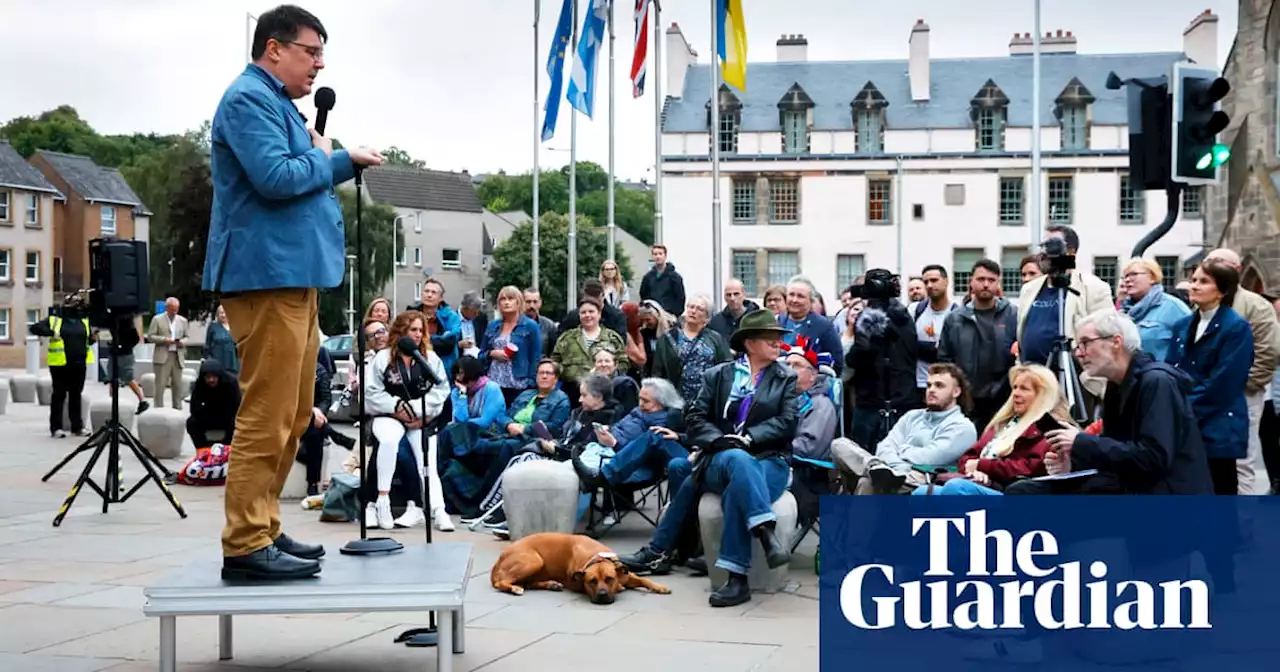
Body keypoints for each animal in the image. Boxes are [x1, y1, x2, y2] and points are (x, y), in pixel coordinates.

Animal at [486, 532, 670, 604]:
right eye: (591, 581)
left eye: (609, 579)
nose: (602, 595)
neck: (597, 558)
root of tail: (498, 560)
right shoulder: (576, 582)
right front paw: (620, 588)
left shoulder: (624, 573)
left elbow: (644, 579)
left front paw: (660, 587)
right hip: (533, 561)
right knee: (503, 583)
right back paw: (514, 588)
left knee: (528, 583)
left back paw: (550, 584)